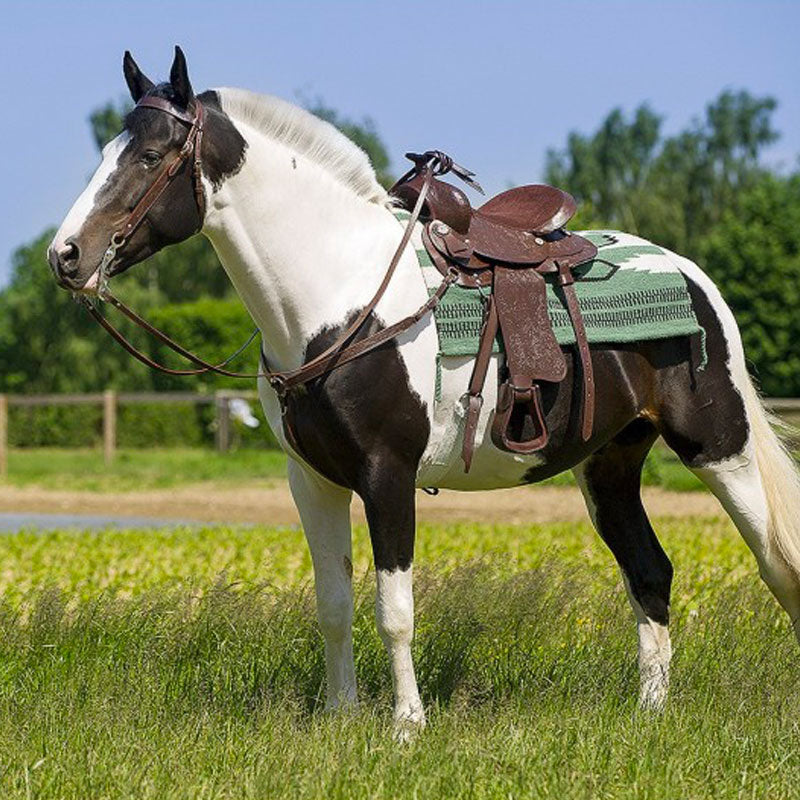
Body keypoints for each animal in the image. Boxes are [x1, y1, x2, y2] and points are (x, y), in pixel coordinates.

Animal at [48, 47, 800, 739]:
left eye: (150, 155)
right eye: (109, 150)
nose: (65, 257)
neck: (342, 297)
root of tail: (692, 276)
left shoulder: (388, 475)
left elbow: (395, 611)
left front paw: (407, 726)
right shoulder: (312, 482)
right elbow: (334, 604)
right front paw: (341, 717)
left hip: (719, 449)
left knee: (774, 559)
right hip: (609, 467)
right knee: (650, 572)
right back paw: (650, 710)